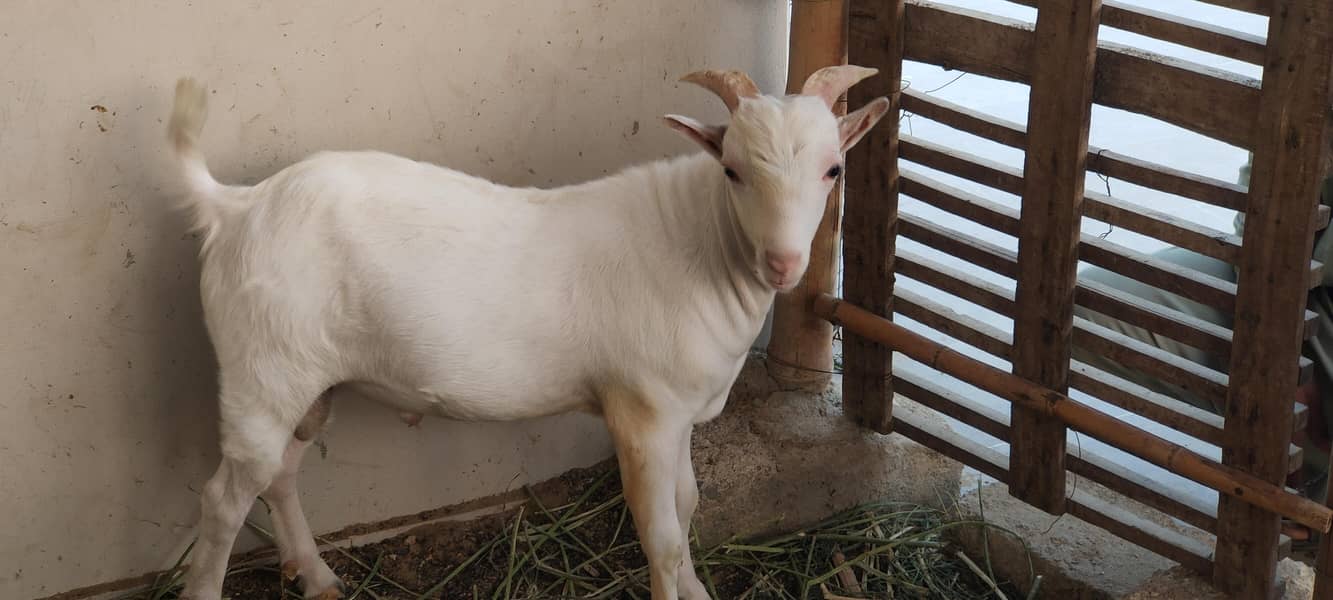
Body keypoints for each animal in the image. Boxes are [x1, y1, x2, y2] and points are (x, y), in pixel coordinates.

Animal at [167, 66, 890, 600]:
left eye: (834, 169)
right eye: (733, 171)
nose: (784, 264)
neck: (699, 246)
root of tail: (234, 206)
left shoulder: (679, 410)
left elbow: (687, 507)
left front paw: (696, 590)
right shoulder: (641, 411)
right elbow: (659, 534)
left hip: (307, 378)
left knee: (280, 473)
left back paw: (316, 575)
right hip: (260, 371)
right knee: (224, 498)